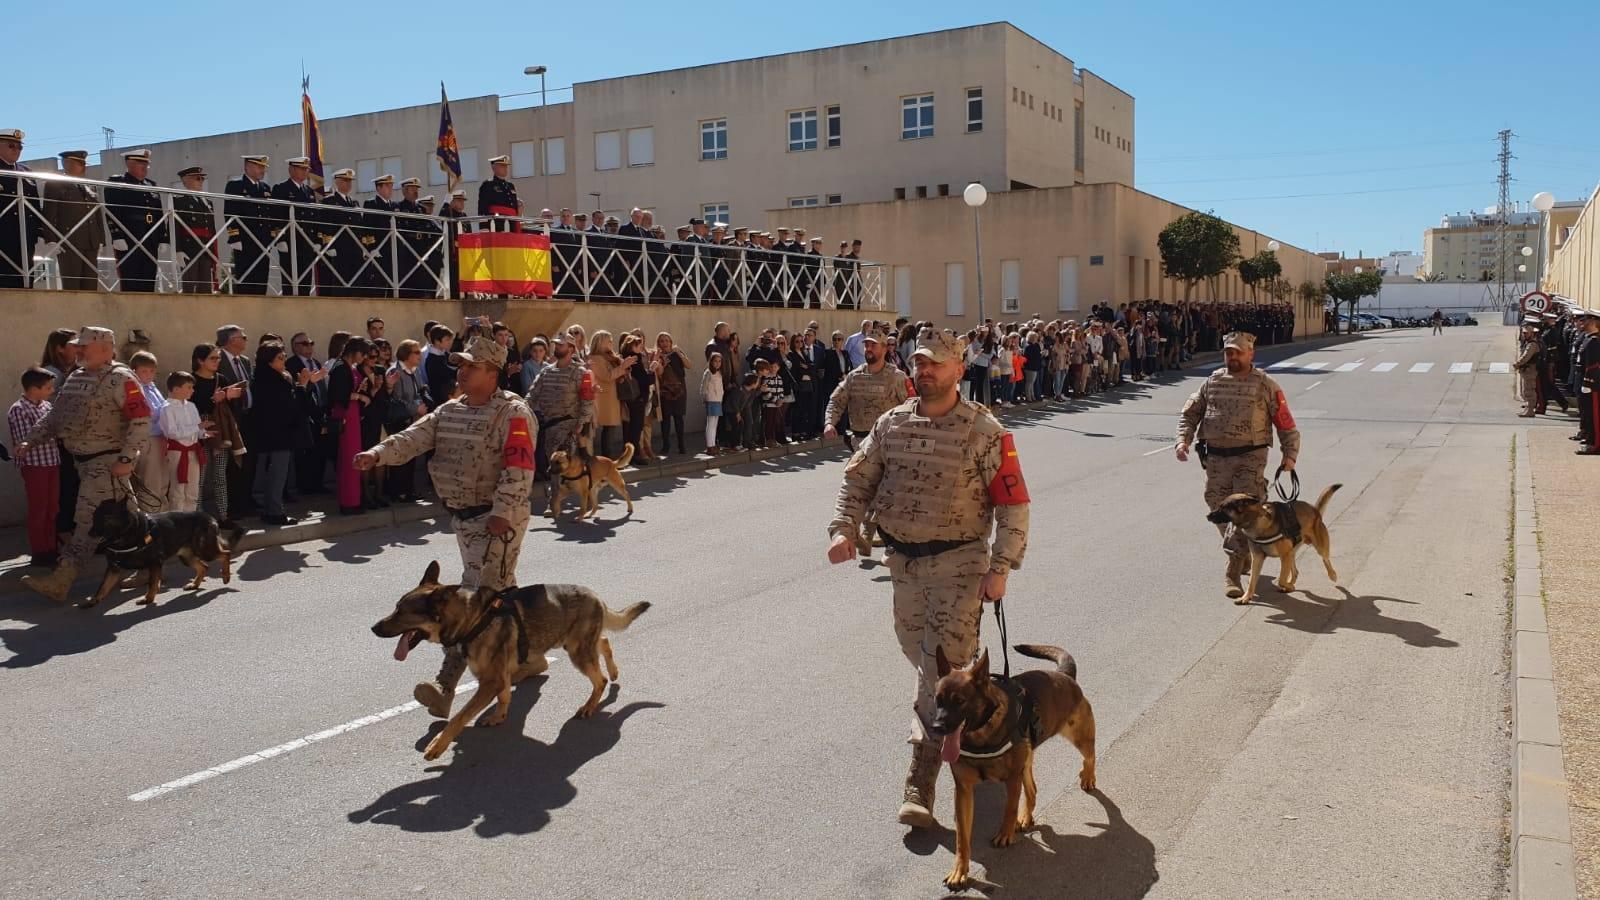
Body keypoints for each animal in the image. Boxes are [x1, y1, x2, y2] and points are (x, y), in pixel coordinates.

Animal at [85, 496, 241, 608]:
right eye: (94, 516)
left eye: (106, 518)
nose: (90, 533)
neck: (126, 534)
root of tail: (209, 517)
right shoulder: (113, 568)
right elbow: (102, 587)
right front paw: (93, 601)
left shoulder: (154, 563)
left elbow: (152, 583)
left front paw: (148, 599)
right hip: (186, 557)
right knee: (204, 567)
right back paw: (194, 585)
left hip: (204, 551)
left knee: (225, 554)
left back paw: (225, 576)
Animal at [371, 560, 652, 755]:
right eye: (396, 607)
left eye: (401, 612)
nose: (373, 628)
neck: (473, 619)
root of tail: (596, 596)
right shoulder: (499, 677)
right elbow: (505, 696)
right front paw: (499, 717)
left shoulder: (490, 681)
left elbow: (459, 717)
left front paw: (437, 746)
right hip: (575, 644)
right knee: (604, 641)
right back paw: (613, 671)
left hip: (577, 652)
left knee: (599, 679)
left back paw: (590, 705)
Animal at [934, 640, 1094, 883]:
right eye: (937, 700)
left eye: (959, 701)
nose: (936, 727)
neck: (982, 733)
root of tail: (1064, 676)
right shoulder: (963, 790)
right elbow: (962, 836)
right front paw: (959, 869)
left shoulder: (1011, 779)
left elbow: (1009, 808)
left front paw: (1005, 834)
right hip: (1026, 763)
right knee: (1033, 790)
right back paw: (1026, 817)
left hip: (1080, 738)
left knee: (1089, 757)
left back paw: (1088, 777)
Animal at [1203, 483, 1344, 602]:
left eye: (1223, 508)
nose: (1207, 516)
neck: (1256, 521)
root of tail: (1314, 510)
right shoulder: (1258, 557)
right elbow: (1252, 580)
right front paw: (1246, 597)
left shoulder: (1283, 556)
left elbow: (1281, 579)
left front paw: (1288, 586)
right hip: (1291, 552)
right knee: (1295, 571)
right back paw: (1290, 583)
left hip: (1319, 546)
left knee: (1325, 558)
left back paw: (1332, 575)